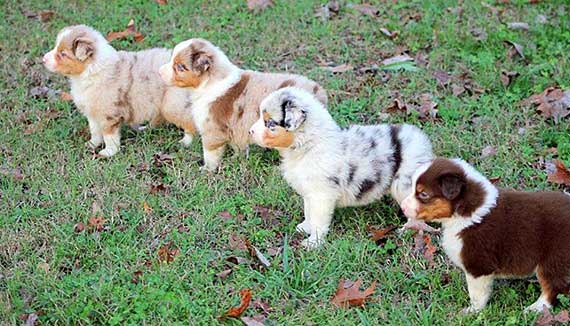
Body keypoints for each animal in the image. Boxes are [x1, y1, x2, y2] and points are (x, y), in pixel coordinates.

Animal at [42, 24, 195, 157]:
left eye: (63, 54)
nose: (43, 59)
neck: (90, 71)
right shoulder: (93, 113)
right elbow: (95, 131)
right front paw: (92, 144)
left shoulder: (109, 114)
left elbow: (109, 136)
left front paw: (108, 152)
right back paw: (146, 128)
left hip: (173, 105)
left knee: (189, 122)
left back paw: (186, 142)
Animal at [156, 38, 324, 171]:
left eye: (179, 66)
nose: (159, 72)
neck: (210, 83)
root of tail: (318, 90)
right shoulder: (236, 128)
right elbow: (238, 146)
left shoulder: (213, 130)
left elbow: (209, 153)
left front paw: (207, 170)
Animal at [398, 158, 568, 314]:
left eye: (423, 194)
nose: (402, 207)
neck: (467, 211)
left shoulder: (478, 265)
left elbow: (477, 294)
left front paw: (472, 311)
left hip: (553, 259)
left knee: (553, 288)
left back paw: (535, 308)